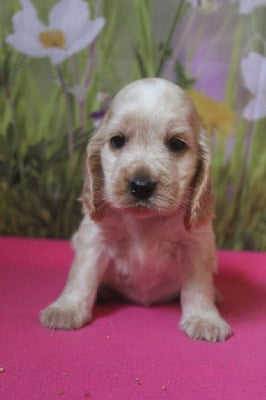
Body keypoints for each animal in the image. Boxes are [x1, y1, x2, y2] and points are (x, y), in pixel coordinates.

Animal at [40, 78, 232, 340]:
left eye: (176, 144)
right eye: (117, 141)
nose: (141, 186)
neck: (145, 221)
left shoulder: (196, 245)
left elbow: (198, 286)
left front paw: (204, 319)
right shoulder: (94, 239)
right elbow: (82, 275)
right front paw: (66, 309)